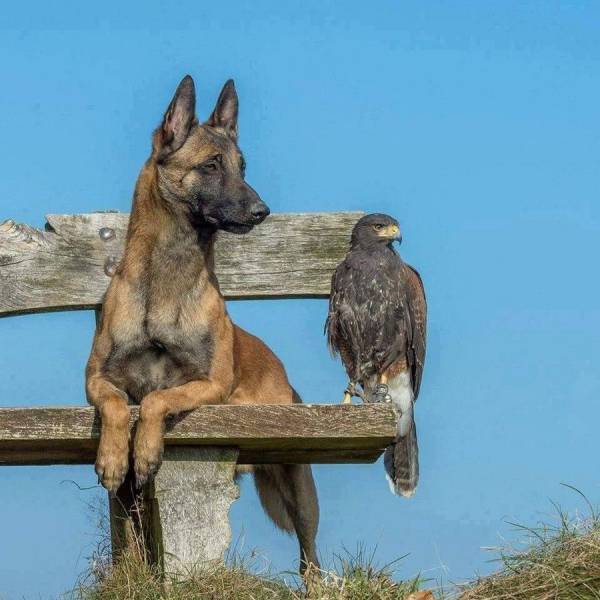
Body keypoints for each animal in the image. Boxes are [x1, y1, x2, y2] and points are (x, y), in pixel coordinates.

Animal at [85, 76, 318, 576]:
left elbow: (157, 398)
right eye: (211, 165)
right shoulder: (97, 379)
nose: (262, 210)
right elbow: (117, 404)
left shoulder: (210, 384)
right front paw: (114, 456)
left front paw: (145, 448)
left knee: (309, 551)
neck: (166, 280)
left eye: (243, 167)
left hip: (299, 487)